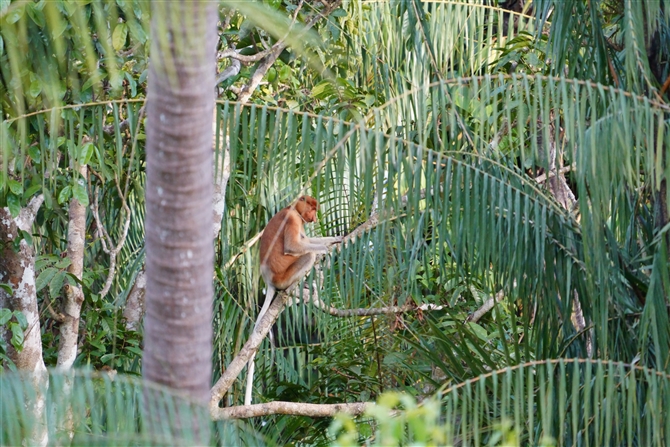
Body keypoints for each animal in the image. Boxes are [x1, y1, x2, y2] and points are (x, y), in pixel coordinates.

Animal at [245, 196, 344, 406]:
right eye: (312, 208)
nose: (313, 217)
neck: (293, 209)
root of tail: (269, 280)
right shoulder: (292, 219)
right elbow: (293, 246)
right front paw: (325, 248)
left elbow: (306, 240)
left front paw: (336, 238)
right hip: (284, 276)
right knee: (308, 255)